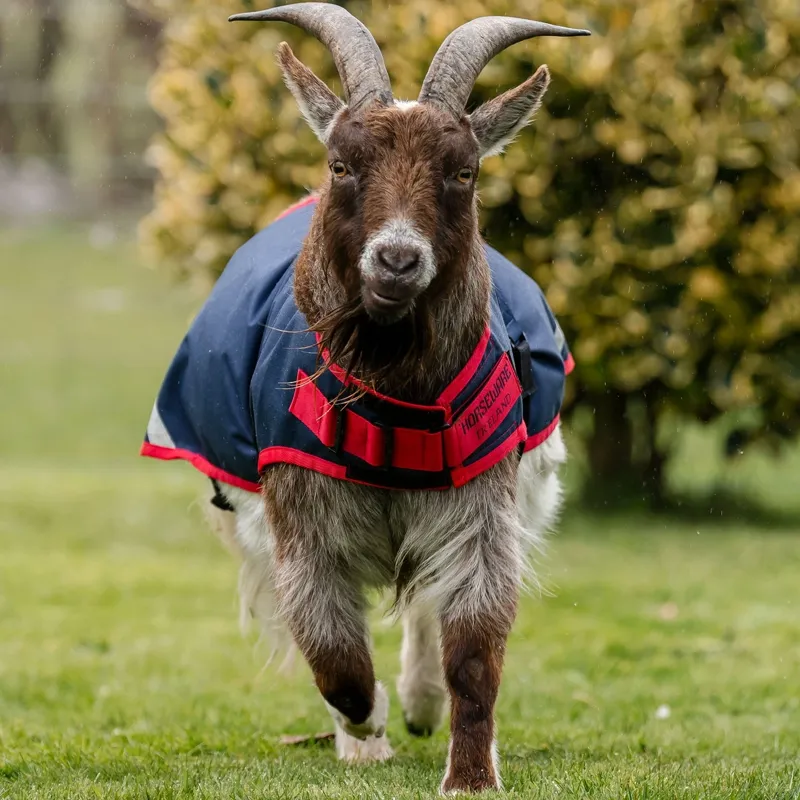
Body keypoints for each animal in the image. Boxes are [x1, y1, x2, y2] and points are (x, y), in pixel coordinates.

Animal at [142, 4, 588, 793]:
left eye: (464, 171)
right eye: (341, 165)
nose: (398, 259)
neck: (390, 397)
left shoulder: (483, 507)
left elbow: (474, 648)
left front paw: (469, 776)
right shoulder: (298, 519)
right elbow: (334, 656)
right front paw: (367, 728)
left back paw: (422, 703)